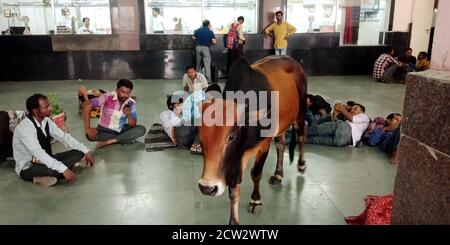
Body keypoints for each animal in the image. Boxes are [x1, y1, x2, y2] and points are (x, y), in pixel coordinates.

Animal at [199, 56, 308, 226]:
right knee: (281, 144)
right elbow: (233, 190)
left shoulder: (263, 145)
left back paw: (301, 165)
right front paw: (233, 221)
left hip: (300, 112)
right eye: (201, 140)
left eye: (231, 136)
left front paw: (255, 201)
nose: (207, 188)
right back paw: (278, 175)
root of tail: (292, 60)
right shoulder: (235, 161)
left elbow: (256, 173)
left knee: (302, 134)